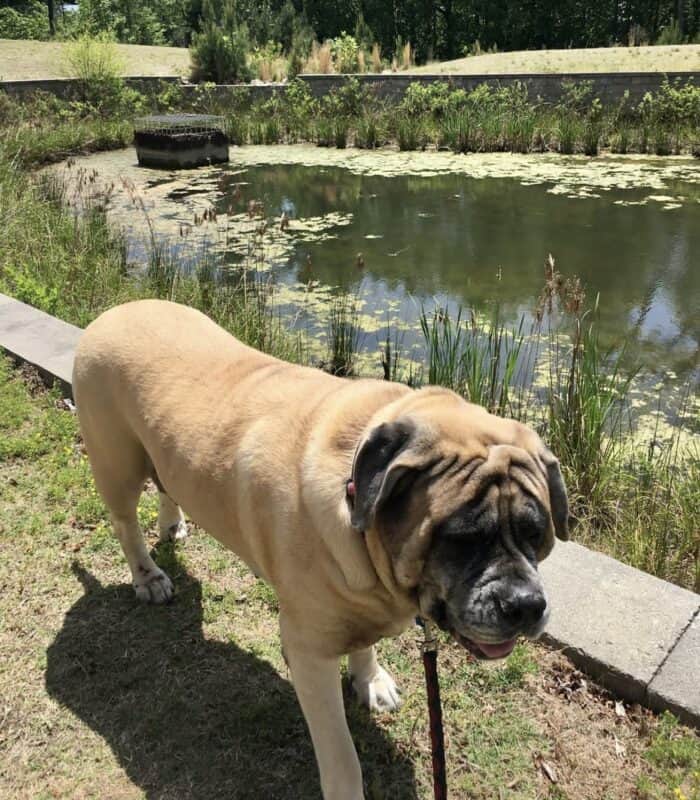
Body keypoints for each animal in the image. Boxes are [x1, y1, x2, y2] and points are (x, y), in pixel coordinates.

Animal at [72, 296, 568, 796]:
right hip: (116, 463)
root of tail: (116, 310)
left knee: (166, 483)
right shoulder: (309, 651)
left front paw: (370, 679)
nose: (526, 605)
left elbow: (364, 642)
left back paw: (172, 523)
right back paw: (148, 576)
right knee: (124, 522)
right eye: (462, 539)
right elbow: (340, 754)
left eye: (536, 534)